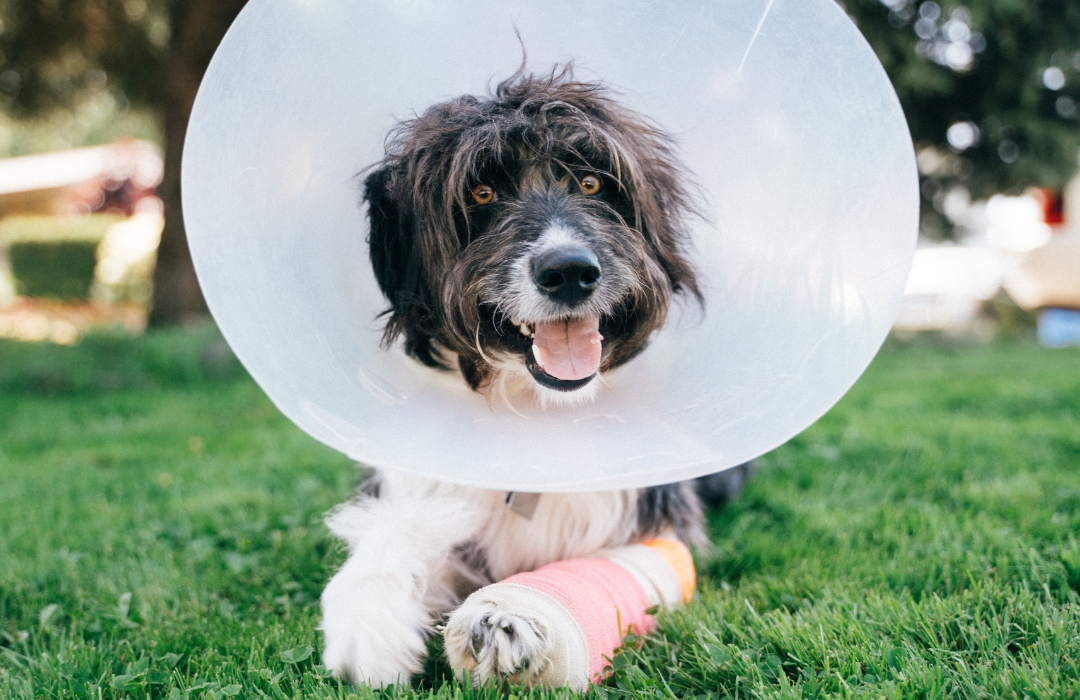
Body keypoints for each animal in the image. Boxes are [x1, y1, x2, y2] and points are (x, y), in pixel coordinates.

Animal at [315, 66, 747, 687]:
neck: (535, 412)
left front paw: (509, 618)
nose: (569, 271)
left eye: (592, 183)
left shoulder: (653, 524)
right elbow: (399, 530)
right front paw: (368, 619)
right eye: (481, 193)